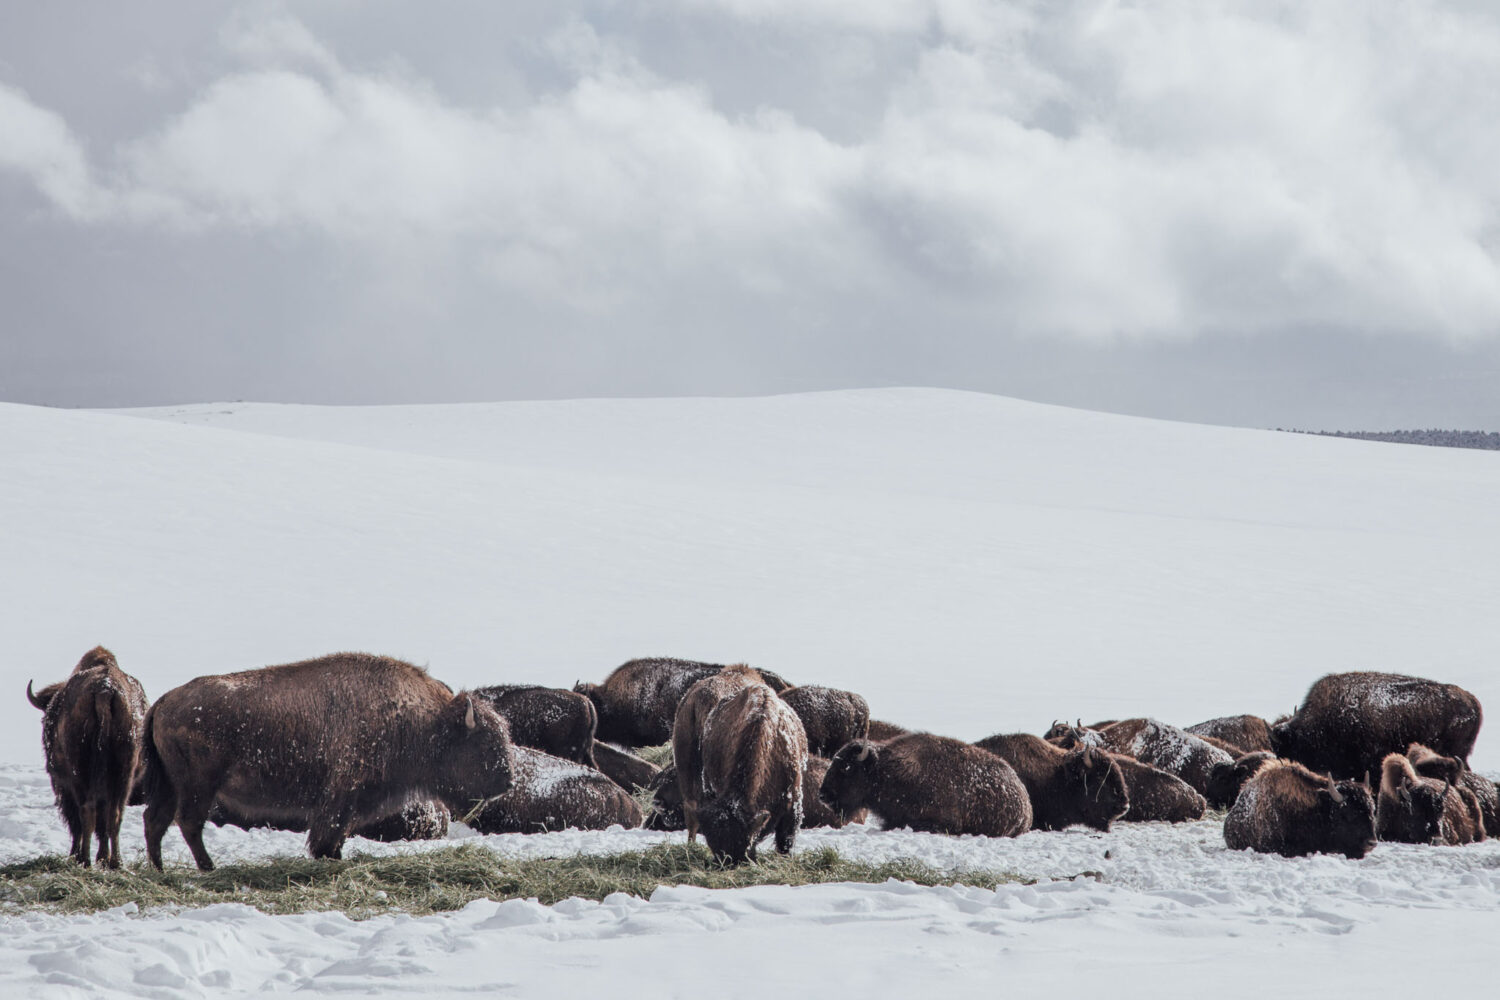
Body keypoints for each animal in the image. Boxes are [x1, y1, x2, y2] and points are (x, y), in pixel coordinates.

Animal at [28, 646, 148, 868]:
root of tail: (104, 690)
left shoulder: (62, 784)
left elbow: (75, 822)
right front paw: (102, 857)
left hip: (79, 776)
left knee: (86, 812)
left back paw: (84, 859)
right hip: (124, 773)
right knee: (114, 814)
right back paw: (114, 861)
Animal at [142, 652, 515, 870]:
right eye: (485, 742)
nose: (508, 781)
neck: (427, 721)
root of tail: (164, 701)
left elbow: (337, 834)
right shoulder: (341, 796)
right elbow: (328, 833)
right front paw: (328, 859)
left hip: (170, 786)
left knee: (155, 820)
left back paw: (160, 868)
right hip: (198, 787)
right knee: (188, 823)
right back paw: (207, 867)